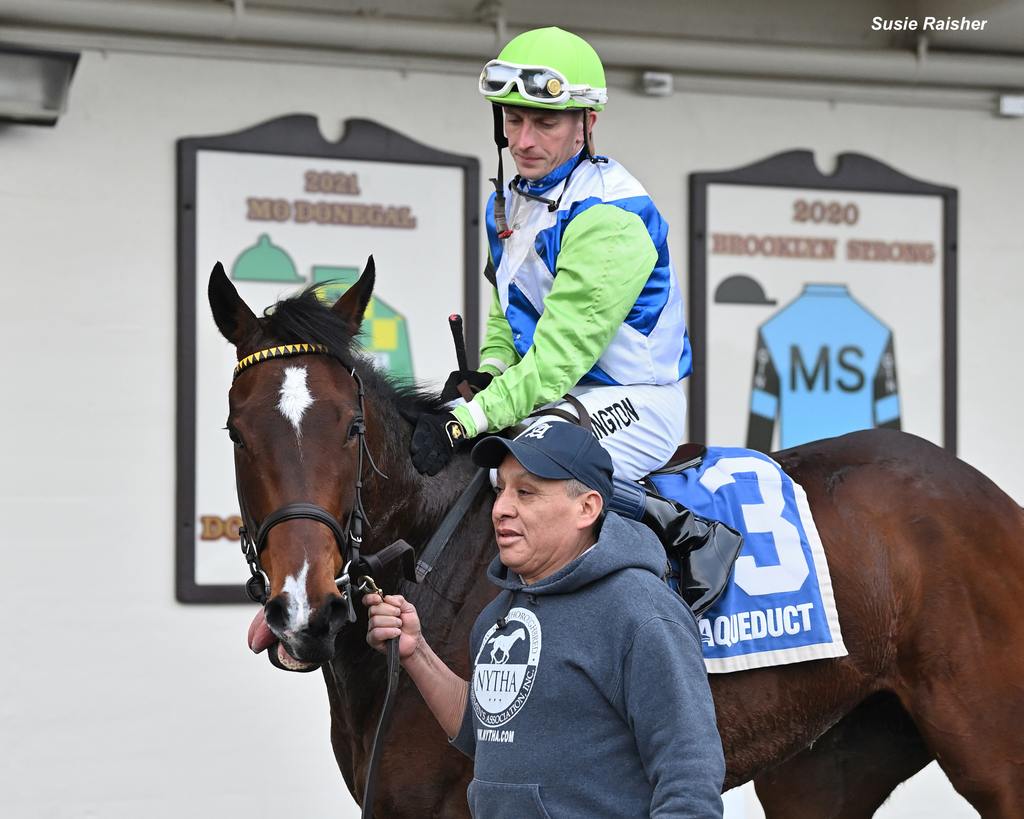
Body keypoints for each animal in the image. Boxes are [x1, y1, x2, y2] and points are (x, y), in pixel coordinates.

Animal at [207, 261, 1024, 818]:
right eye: (236, 431)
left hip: (990, 749)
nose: (304, 608)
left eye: (350, 427)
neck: (437, 560)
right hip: (829, 761)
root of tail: (988, 495)